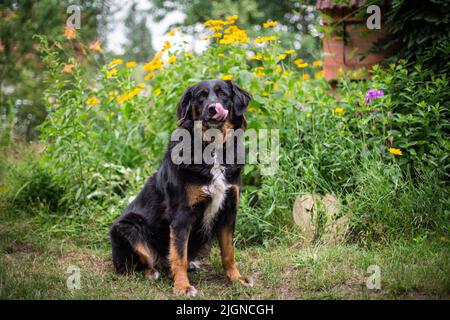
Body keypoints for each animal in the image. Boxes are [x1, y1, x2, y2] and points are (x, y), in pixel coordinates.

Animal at [110, 79, 253, 296]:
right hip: (129, 227)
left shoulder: (228, 209)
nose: (212, 108)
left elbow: (228, 252)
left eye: (222, 94)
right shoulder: (181, 214)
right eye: (201, 96)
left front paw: (236, 278)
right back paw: (152, 272)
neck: (212, 149)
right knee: (139, 263)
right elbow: (178, 255)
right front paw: (182, 286)